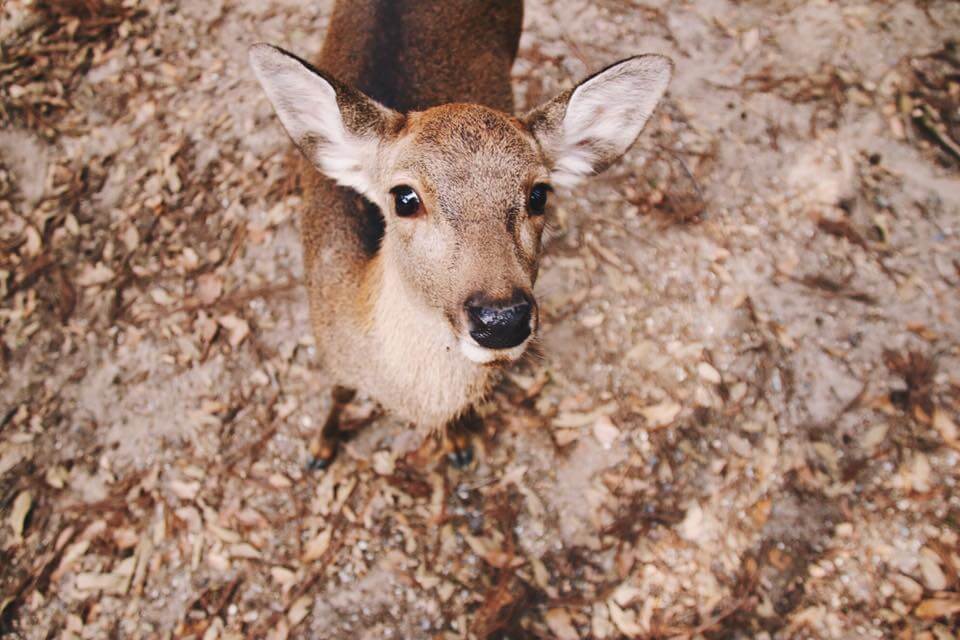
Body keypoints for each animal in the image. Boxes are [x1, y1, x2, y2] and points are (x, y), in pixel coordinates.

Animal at [251, 0, 672, 470]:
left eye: (539, 194)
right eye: (404, 197)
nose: (501, 320)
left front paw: (457, 444)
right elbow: (340, 392)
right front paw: (321, 448)